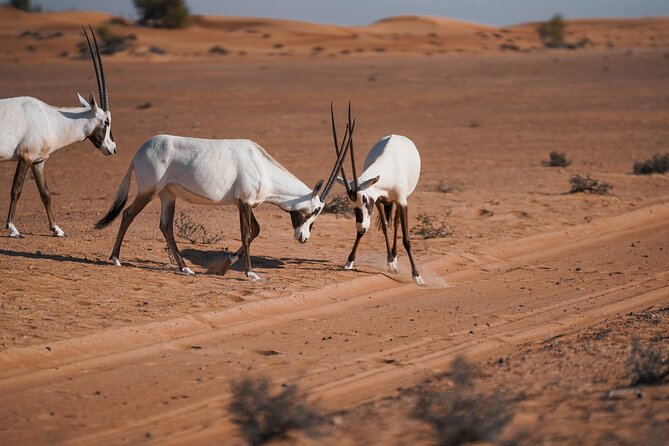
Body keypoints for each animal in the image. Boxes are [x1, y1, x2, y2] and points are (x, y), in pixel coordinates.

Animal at [0, 27, 115, 238]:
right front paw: (12, 228)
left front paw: (57, 229)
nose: (113, 148)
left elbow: (46, 194)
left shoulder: (38, 162)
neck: (50, 119)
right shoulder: (25, 158)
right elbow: (16, 190)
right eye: (107, 121)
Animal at [94, 119, 353, 282]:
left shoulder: (245, 203)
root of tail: (140, 151)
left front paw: (223, 267)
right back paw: (115, 259)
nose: (303, 238)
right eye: (316, 210)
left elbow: (255, 231)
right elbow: (247, 234)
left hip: (168, 195)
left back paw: (185, 268)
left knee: (165, 226)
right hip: (149, 190)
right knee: (128, 214)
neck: (262, 166)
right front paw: (250, 274)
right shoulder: (244, 203)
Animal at [331, 104, 424, 285]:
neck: (390, 166)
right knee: (390, 224)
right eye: (351, 203)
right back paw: (392, 259)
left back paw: (396, 257)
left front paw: (417, 276)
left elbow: (406, 239)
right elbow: (384, 228)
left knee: (397, 223)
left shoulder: (401, 201)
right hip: (388, 202)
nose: (361, 226)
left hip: (401, 199)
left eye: (364, 199)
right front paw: (350, 261)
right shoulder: (379, 200)